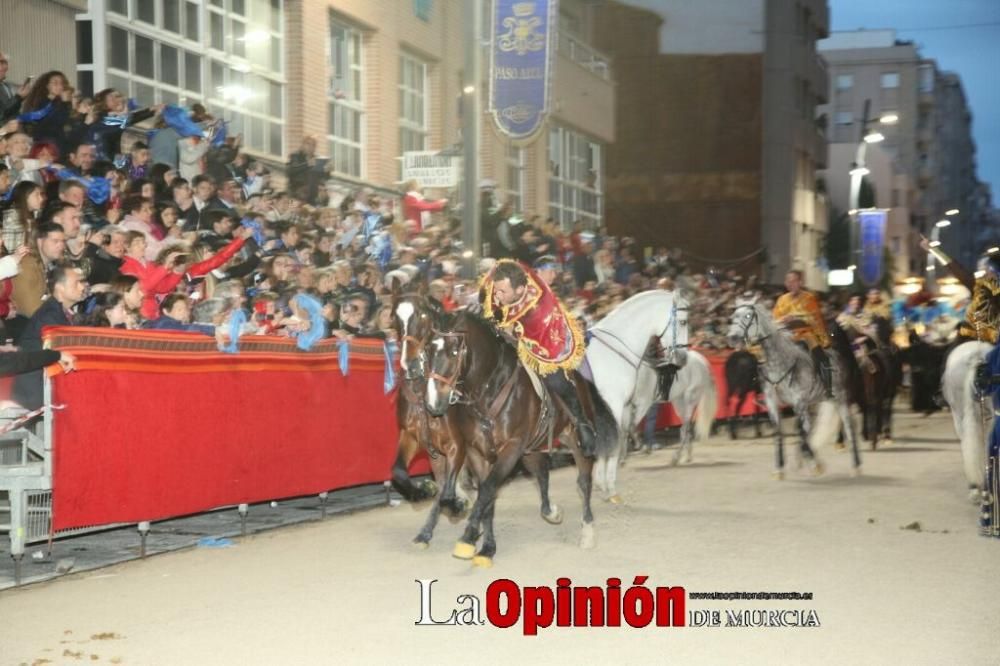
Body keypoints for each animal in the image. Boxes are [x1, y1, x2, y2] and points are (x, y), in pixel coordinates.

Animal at [422, 312, 616, 564]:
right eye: (427, 350)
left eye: (454, 351)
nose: (433, 403)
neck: (488, 391)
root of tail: (581, 379)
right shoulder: (477, 452)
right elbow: (486, 497)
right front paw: (486, 547)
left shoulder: (511, 449)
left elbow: (487, 490)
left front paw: (468, 536)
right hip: (531, 450)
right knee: (542, 475)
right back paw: (552, 512)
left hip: (575, 442)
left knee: (583, 482)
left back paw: (588, 532)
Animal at [588, 288, 692, 500]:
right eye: (683, 322)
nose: (682, 358)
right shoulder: (614, 405)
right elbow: (614, 440)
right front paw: (610, 489)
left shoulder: (621, 407)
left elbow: (611, 439)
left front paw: (601, 483)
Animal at [724, 300, 864, 478]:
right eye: (734, 316)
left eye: (748, 316)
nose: (732, 338)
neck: (780, 364)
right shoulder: (773, 402)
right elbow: (780, 431)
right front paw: (780, 468)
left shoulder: (799, 402)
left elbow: (802, 432)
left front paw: (815, 465)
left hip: (840, 397)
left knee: (848, 426)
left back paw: (855, 466)